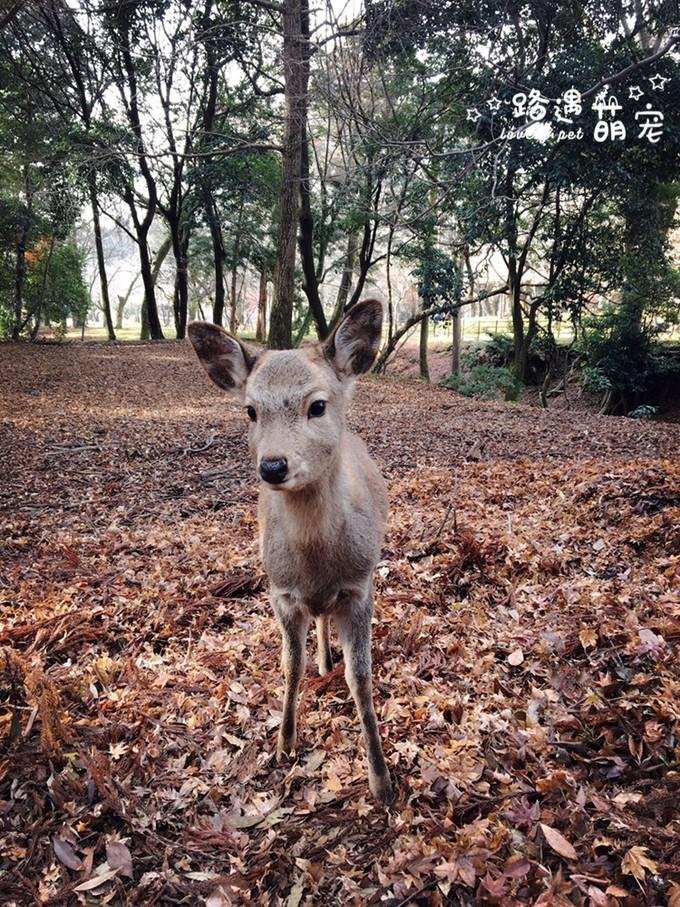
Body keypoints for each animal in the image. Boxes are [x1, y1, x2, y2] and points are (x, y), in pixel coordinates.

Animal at [189, 302, 394, 804]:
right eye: (250, 410)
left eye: (317, 405)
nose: (273, 465)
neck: (316, 563)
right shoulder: (279, 591)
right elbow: (290, 666)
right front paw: (284, 743)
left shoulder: (361, 586)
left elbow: (361, 677)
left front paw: (381, 780)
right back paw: (322, 658)